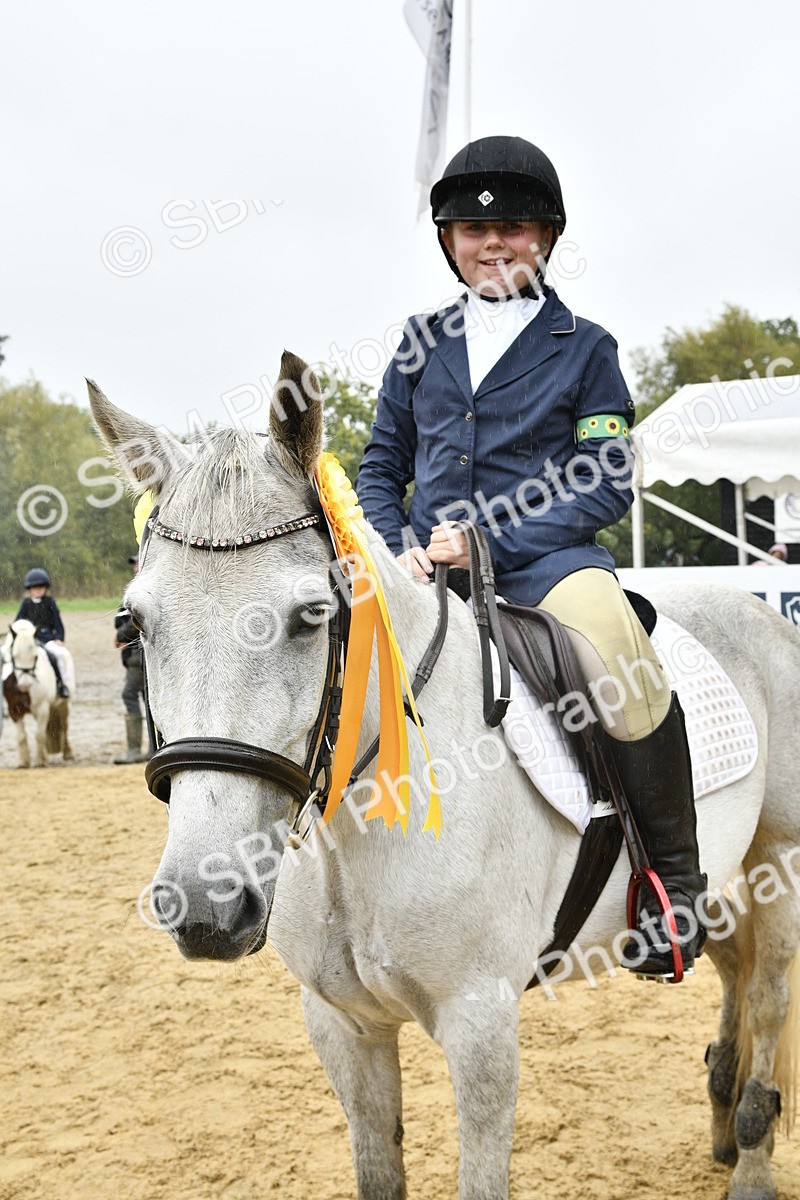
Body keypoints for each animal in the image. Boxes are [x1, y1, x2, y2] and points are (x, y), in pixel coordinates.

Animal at [1, 619, 74, 767]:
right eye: (14, 656)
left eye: (35, 656)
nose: (25, 685)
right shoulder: (14, 710)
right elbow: (21, 736)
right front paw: (23, 762)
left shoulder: (41, 708)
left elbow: (38, 734)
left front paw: (40, 761)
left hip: (63, 704)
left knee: (64, 726)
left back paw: (67, 753)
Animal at [88, 356, 800, 1200]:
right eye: (134, 624)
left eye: (310, 616)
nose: (206, 905)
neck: (355, 834)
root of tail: (758, 609)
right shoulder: (343, 1025)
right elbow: (378, 1170)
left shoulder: (481, 1026)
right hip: (723, 884)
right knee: (733, 971)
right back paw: (723, 1121)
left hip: (778, 863)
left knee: (769, 993)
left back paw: (750, 1155)